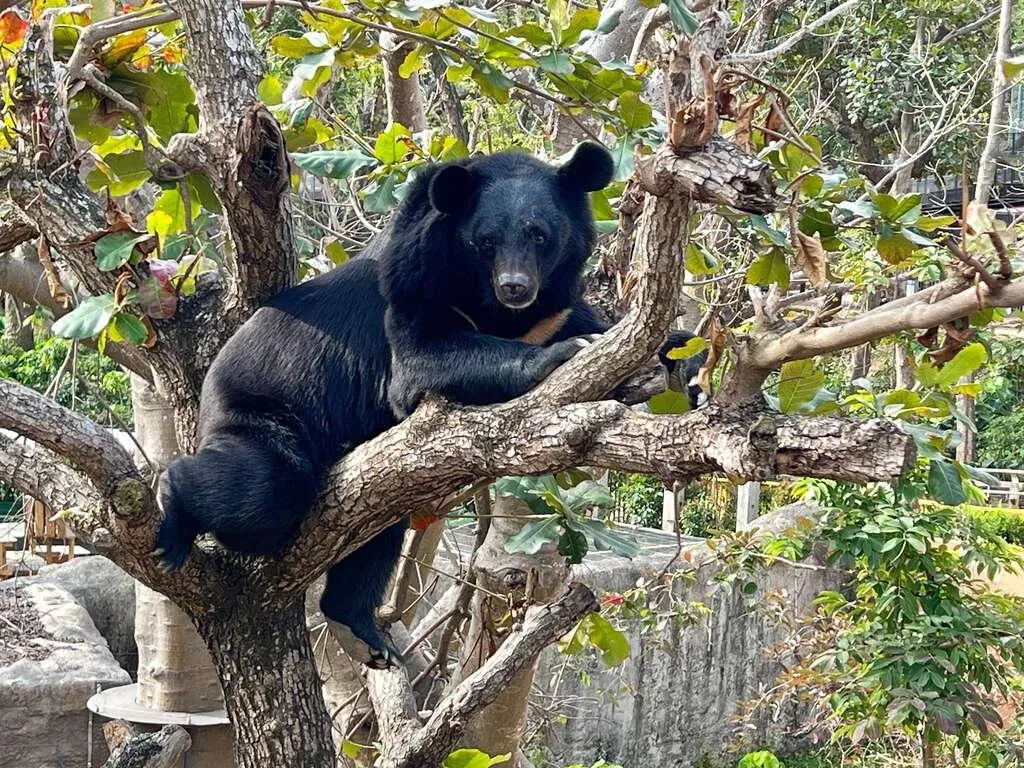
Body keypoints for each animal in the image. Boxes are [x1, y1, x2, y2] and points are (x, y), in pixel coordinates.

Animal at [156, 142, 707, 666]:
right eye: (485, 241)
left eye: (540, 235)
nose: (516, 287)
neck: (496, 308)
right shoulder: (412, 286)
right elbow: (420, 363)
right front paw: (564, 354)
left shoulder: (553, 307)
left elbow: (609, 330)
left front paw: (687, 362)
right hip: (260, 413)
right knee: (264, 488)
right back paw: (172, 506)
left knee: (371, 535)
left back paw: (362, 630)